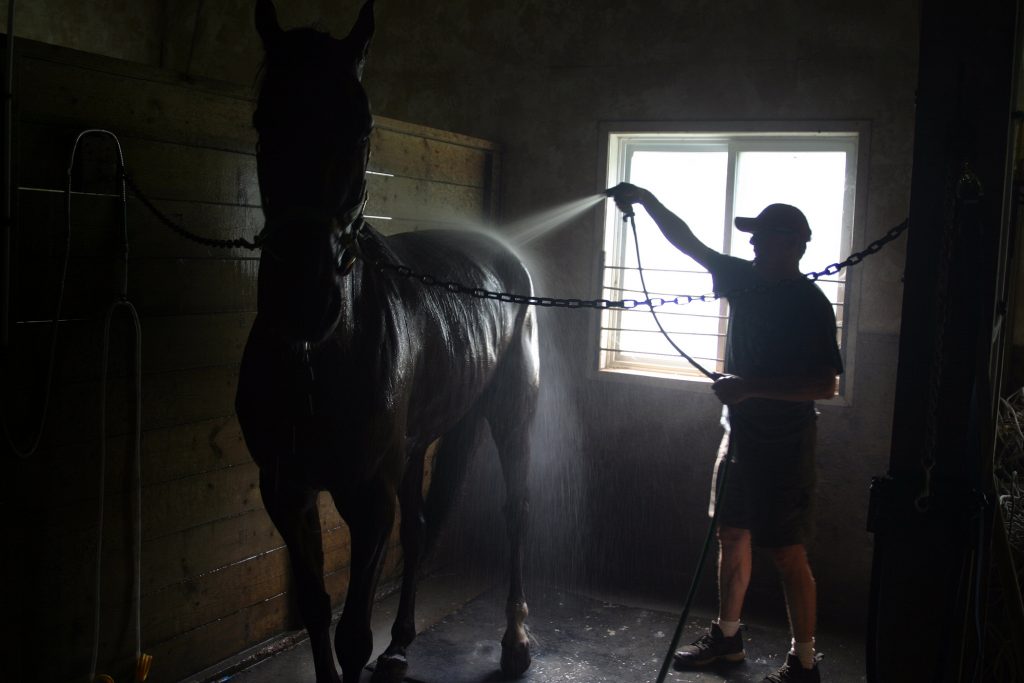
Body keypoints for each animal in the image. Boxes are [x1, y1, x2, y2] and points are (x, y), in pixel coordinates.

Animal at [233, 1, 536, 683]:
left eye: (364, 127)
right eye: (265, 120)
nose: (303, 298)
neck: (319, 358)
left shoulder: (368, 499)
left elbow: (350, 636)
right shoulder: (286, 490)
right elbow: (316, 609)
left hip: (512, 417)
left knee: (515, 515)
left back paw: (516, 641)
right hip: (425, 440)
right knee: (422, 528)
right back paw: (399, 646)